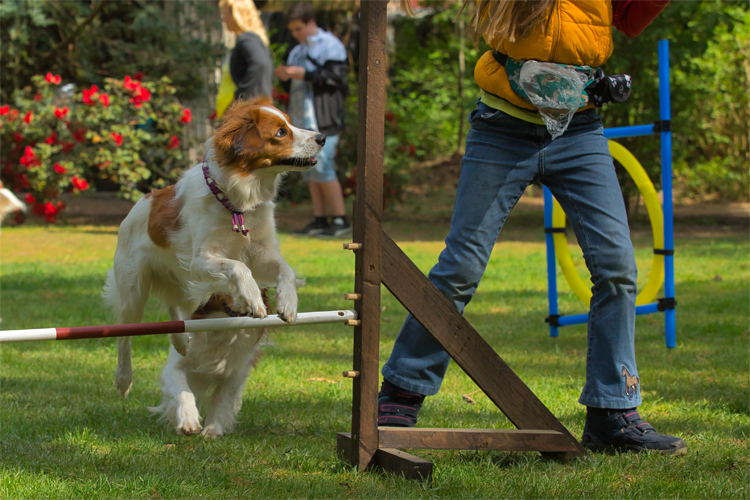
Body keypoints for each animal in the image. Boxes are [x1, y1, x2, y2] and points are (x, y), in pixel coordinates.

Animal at [103, 97, 324, 422]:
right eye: (281, 132)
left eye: (290, 123)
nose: (322, 138)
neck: (237, 202)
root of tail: (141, 201)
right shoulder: (200, 261)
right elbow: (238, 268)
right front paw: (253, 298)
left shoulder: (261, 251)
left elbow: (284, 270)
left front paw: (287, 302)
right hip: (133, 288)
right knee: (125, 336)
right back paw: (123, 379)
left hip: (175, 281)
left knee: (176, 307)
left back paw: (182, 341)